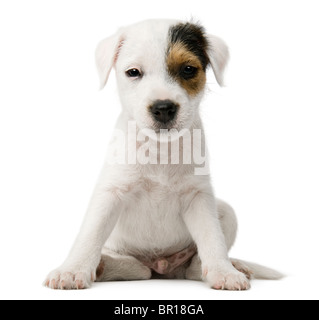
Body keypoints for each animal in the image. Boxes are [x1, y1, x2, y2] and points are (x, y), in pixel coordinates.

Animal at [44, 19, 282, 290]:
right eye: (133, 72)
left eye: (188, 69)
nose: (163, 108)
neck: (160, 149)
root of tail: (162, 265)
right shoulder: (111, 193)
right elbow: (90, 234)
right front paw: (72, 270)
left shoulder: (198, 198)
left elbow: (212, 238)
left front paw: (224, 271)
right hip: (128, 254)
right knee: (136, 268)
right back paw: (104, 265)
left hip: (225, 213)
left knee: (192, 267)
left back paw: (232, 266)